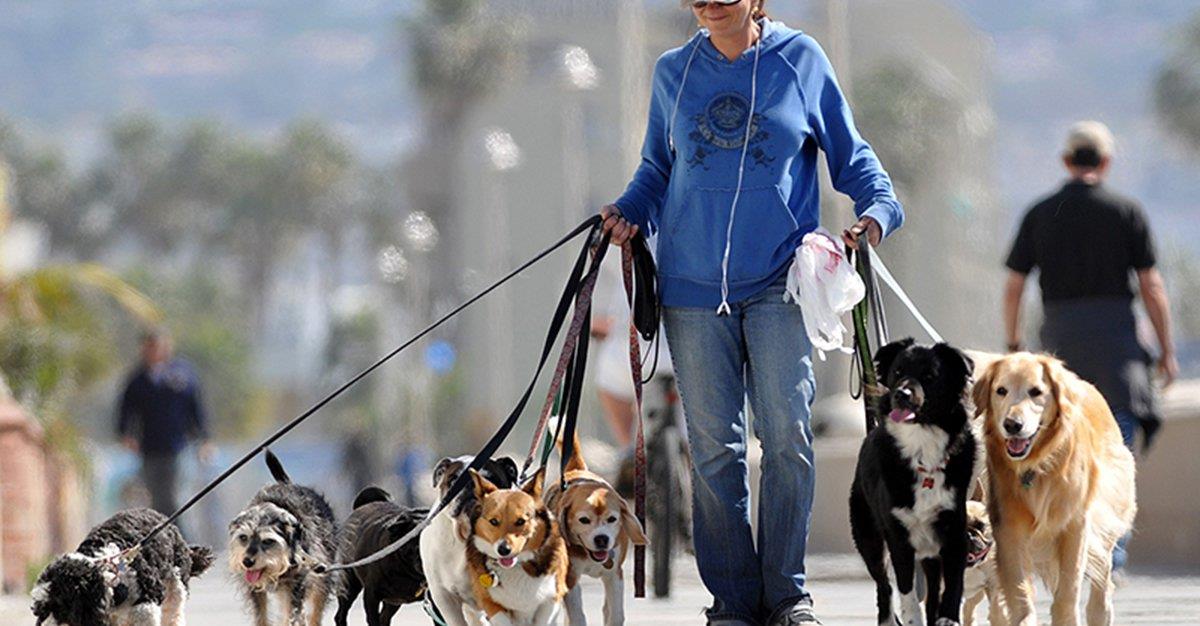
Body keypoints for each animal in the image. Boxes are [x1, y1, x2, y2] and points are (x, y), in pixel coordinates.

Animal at [226, 448, 340, 623]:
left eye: (268, 541)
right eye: (243, 537)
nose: (247, 562)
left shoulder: (296, 587)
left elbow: (291, 615)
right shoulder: (256, 590)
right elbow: (262, 617)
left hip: (322, 577)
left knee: (316, 611)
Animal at [333, 482, 432, 623]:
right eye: (417, 544)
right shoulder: (371, 597)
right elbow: (373, 619)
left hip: (393, 603)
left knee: (384, 617)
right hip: (349, 585)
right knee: (341, 614)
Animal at [849, 338, 979, 623]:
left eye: (930, 376)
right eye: (897, 372)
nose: (902, 394)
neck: (922, 445)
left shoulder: (955, 531)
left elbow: (953, 585)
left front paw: (948, 619)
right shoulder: (898, 537)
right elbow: (906, 593)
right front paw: (912, 619)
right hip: (868, 537)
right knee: (883, 586)